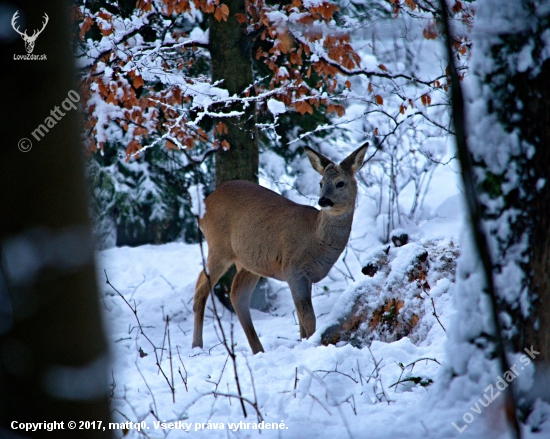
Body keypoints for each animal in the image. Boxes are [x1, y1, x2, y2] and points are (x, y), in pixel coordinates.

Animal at [192, 143, 368, 356]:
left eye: (340, 183)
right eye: (320, 183)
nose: (323, 201)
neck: (315, 237)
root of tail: (205, 204)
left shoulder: (303, 276)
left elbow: (301, 317)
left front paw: (303, 342)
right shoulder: (295, 269)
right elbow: (308, 317)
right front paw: (310, 345)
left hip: (249, 261)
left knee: (237, 295)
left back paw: (258, 350)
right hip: (219, 246)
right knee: (201, 288)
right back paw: (197, 346)